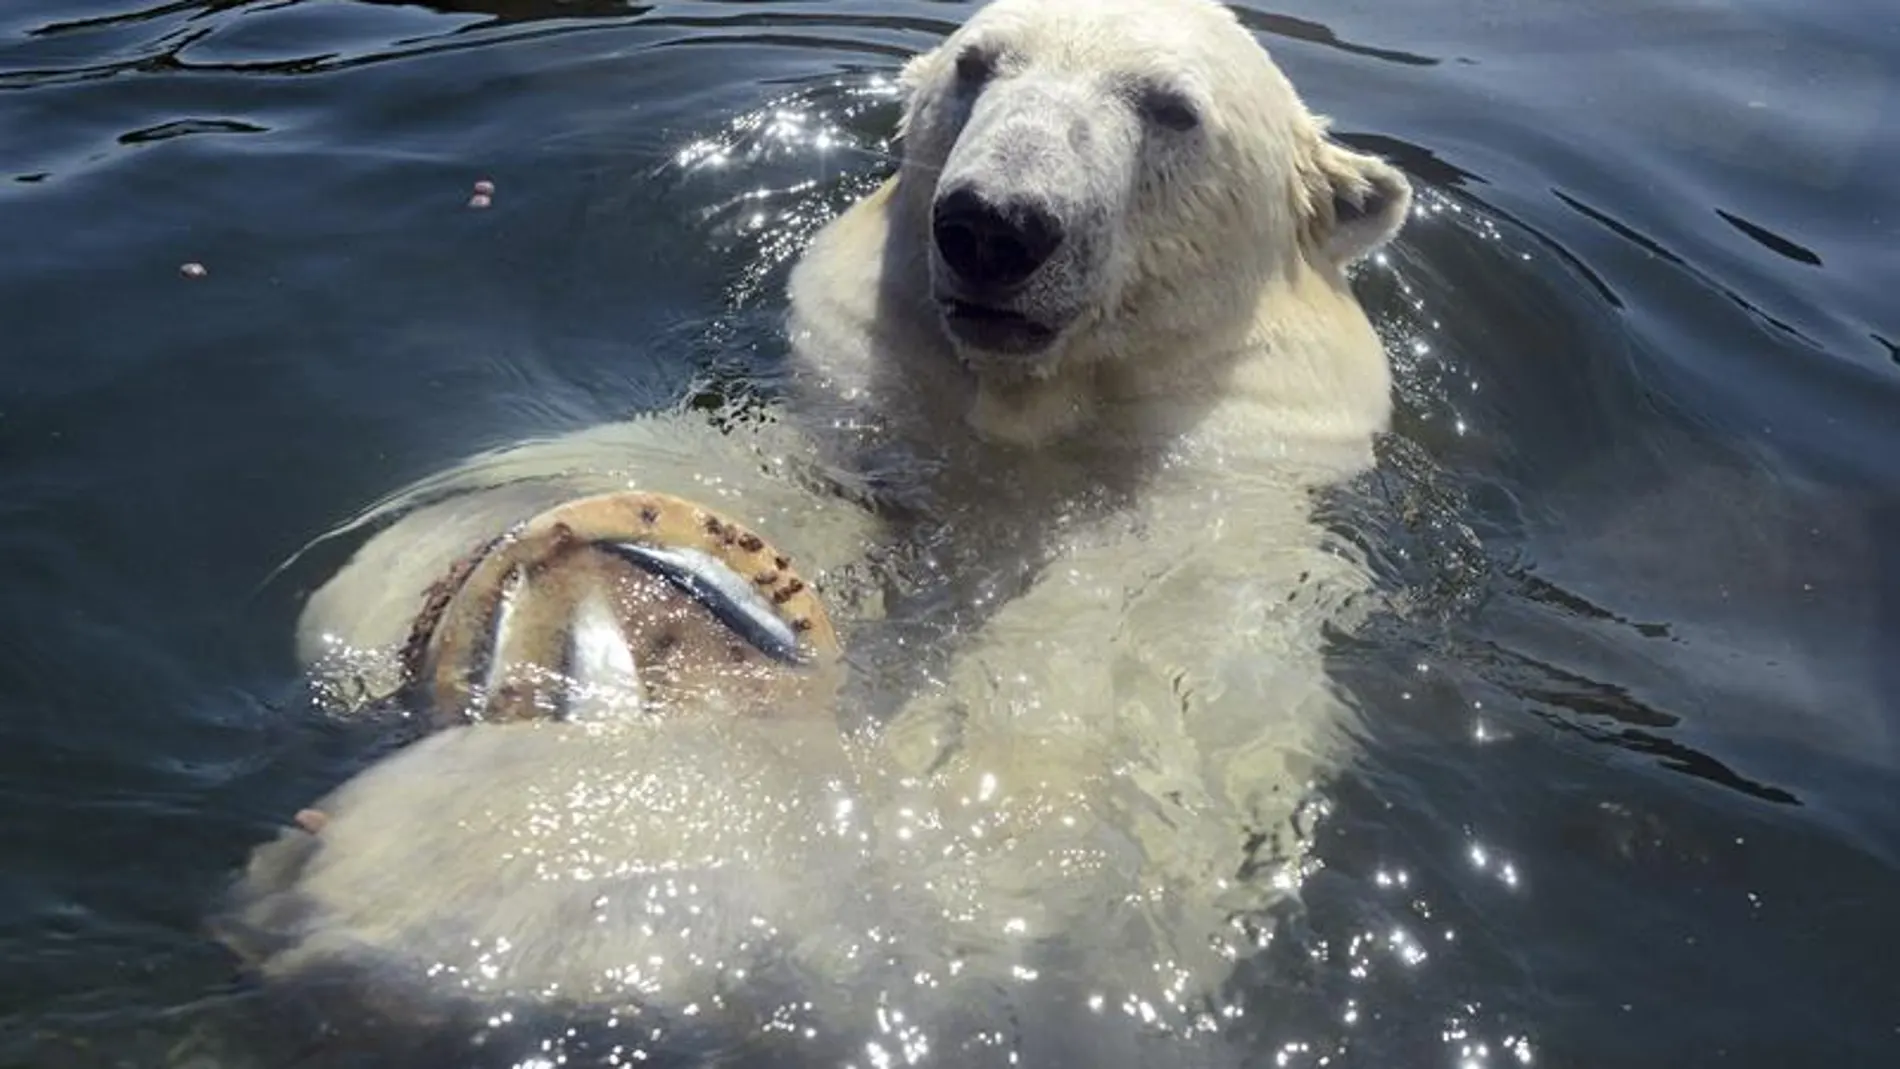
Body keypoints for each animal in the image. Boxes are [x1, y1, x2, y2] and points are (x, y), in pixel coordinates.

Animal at [212, 0, 1413, 1065]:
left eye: (1170, 106)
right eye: (978, 63)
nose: (996, 223)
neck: (1028, 446)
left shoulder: (1175, 629)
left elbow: (1018, 841)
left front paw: (487, 848)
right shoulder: (865, 428)